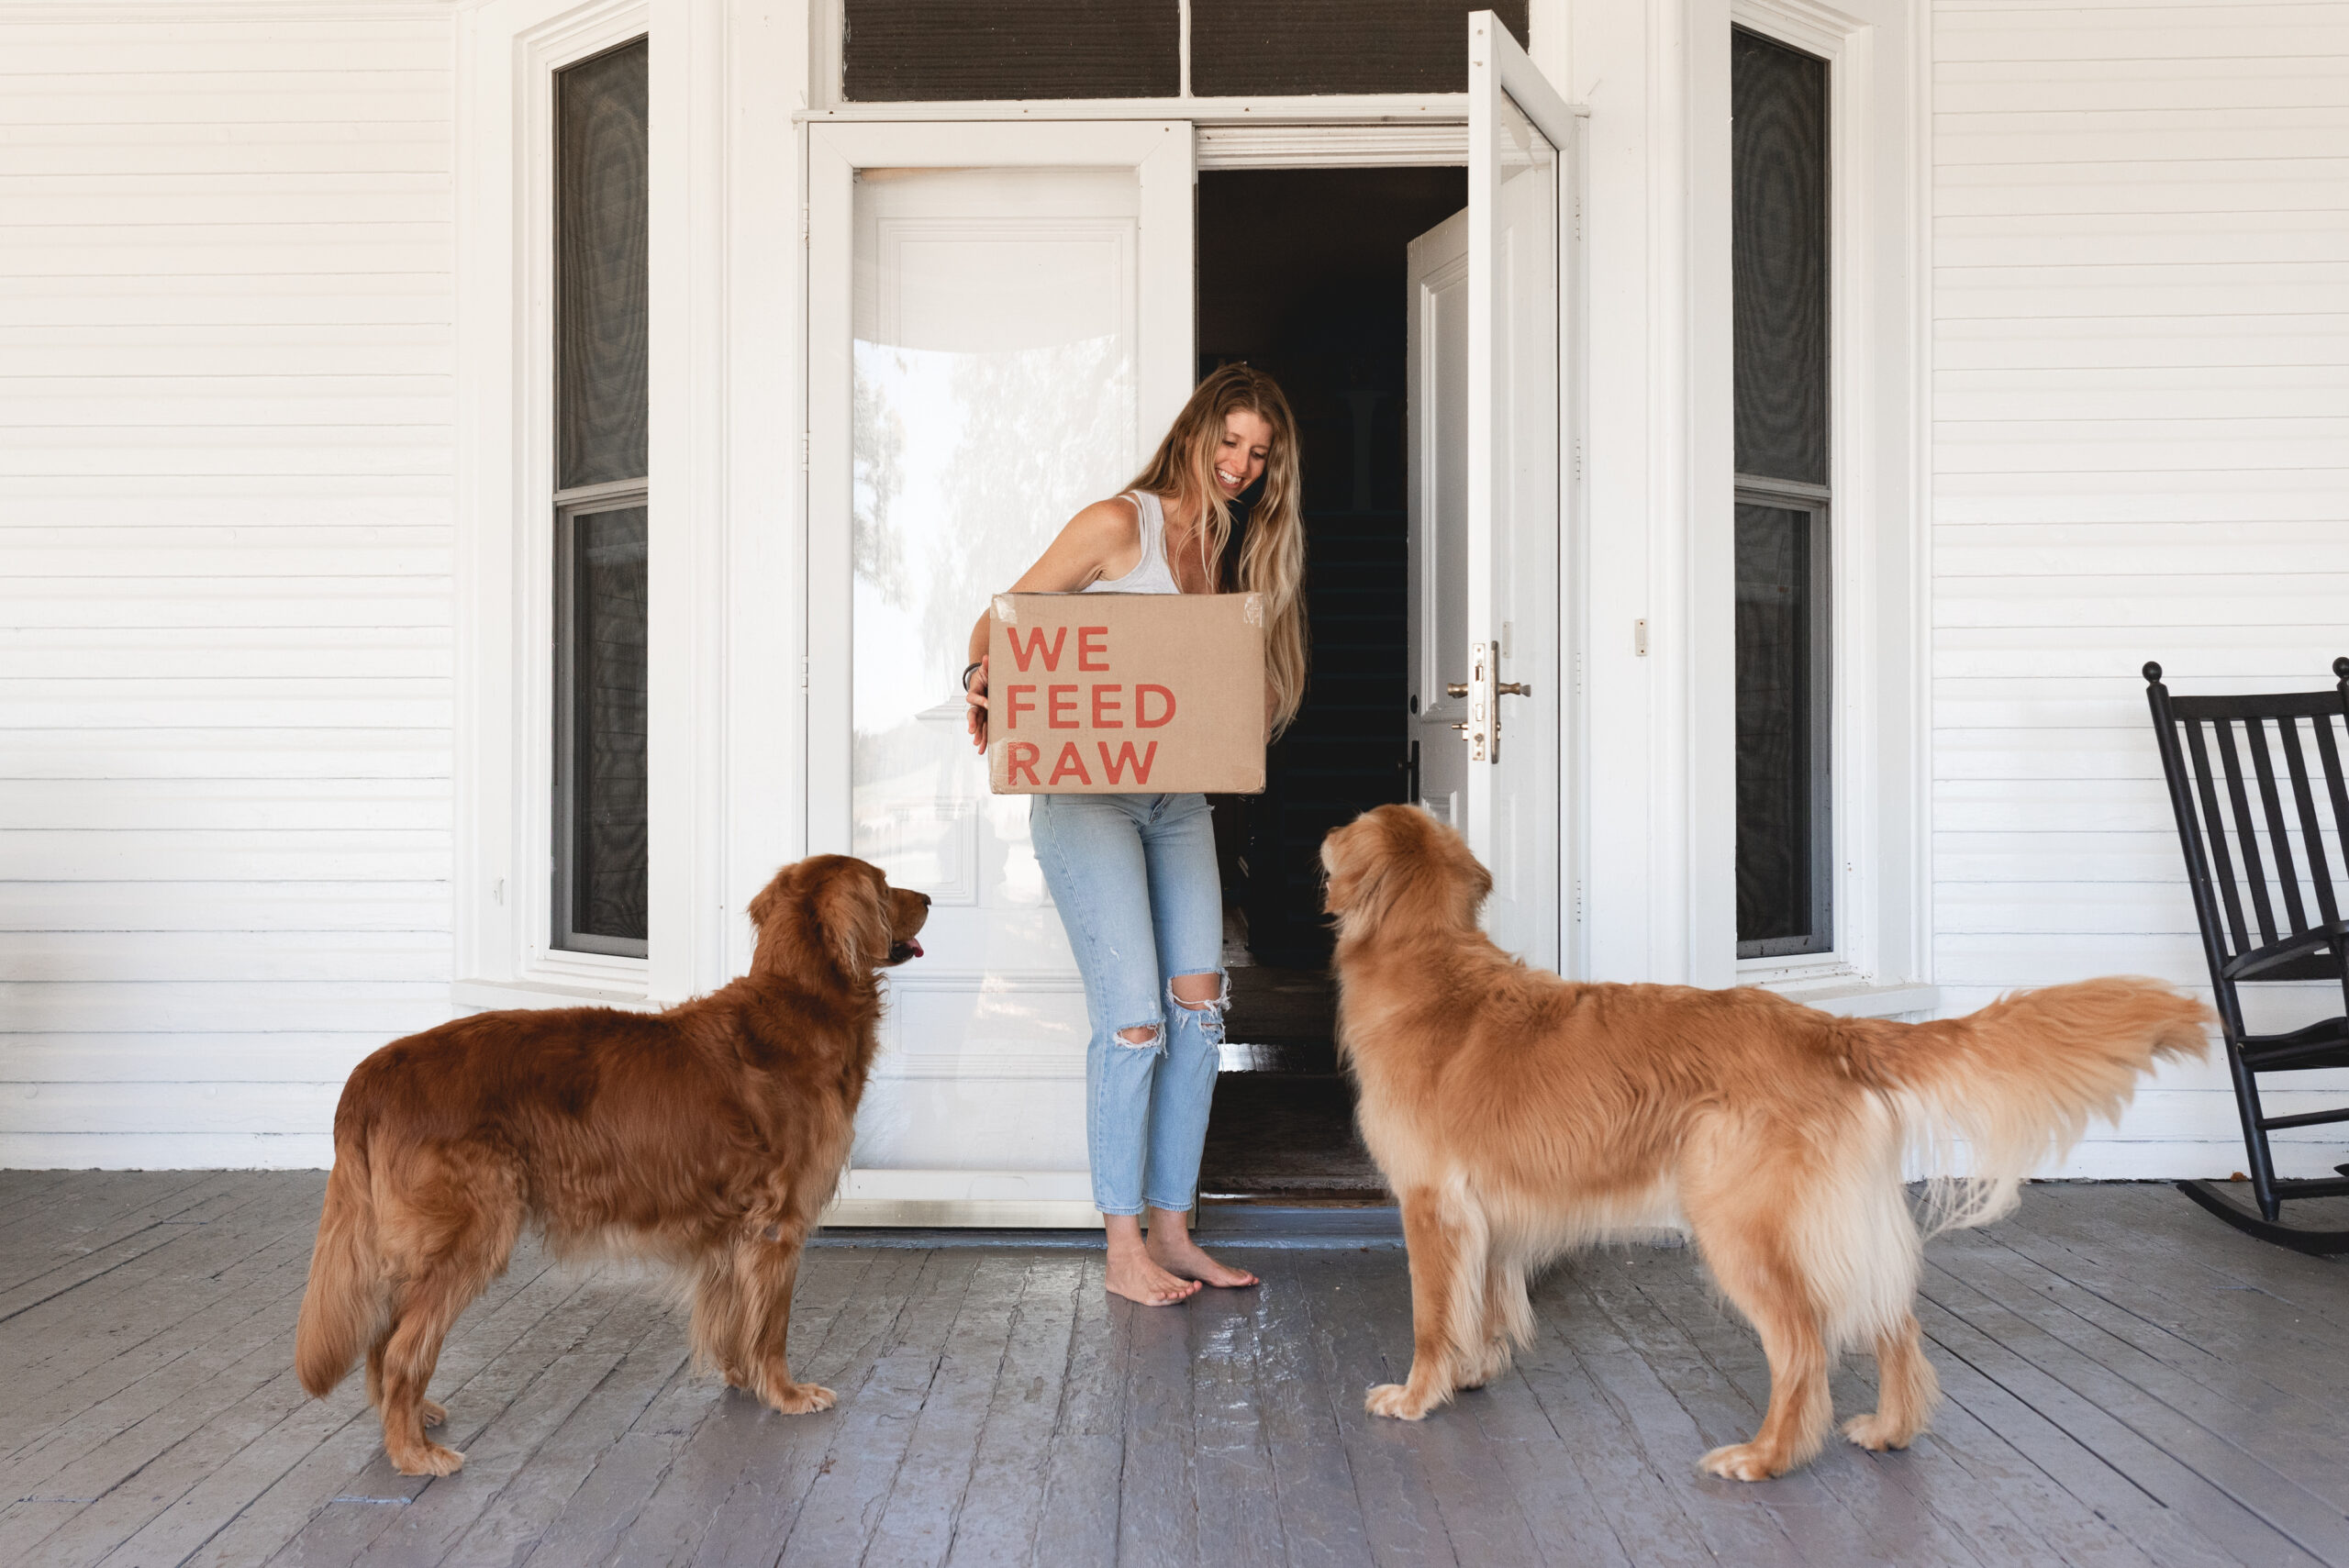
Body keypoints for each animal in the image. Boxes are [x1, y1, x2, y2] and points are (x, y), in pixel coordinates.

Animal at [288, 850, 920, 1473]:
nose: (931, 898)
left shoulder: (733, 1231)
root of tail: (373, 1073)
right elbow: (772, 1327)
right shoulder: (776, 1227)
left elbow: (734, 1317)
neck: (799, 1001)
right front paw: (786, 1393)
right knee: (402, 1348)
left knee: (383, 1334)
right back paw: (413, 1451)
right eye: (887, 885)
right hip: (471, 1233)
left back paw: (412, 1419)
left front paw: (743, 1380)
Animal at [1334, 807, 2208, 1483]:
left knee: (1804, 1350)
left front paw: (1415, 1395)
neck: (1430, 961)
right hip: (1842, 1227)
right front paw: (1472, 1373)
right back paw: (1890, 1430)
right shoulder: (1486, 1215)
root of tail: (1828, 1029)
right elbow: (1481, 1306)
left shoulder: (1432, 1203)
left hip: (1740, 1225)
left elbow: (1432, 1314)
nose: (1325, 837)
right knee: (1897, 1325)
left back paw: (1765, 1456)